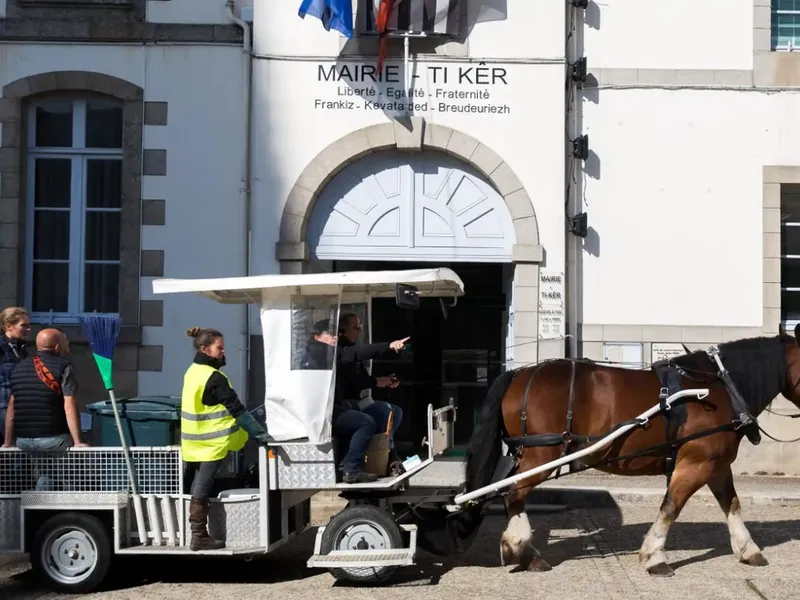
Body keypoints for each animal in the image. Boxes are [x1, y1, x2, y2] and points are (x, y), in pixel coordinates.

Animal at [462, 324, 800, 576]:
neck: (721, 387)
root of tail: (520, 375)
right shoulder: (696, 463)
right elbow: (671, 506)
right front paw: (654, 556)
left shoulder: (715, 465)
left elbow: (732, 505)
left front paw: (748, 549)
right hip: (541, 456)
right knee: (513, 494)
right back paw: (524, 551)